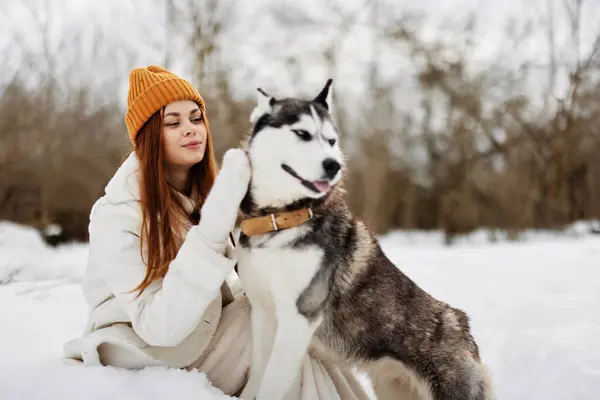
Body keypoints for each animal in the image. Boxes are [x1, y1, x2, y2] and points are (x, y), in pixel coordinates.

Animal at [234, 79, 492, 398]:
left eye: (331, 140)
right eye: (302, 133)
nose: (333, 165)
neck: (279, 221)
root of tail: (461, 324)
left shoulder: (299, 317)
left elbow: (272, 383)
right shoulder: (262, 311)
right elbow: (258, 375)